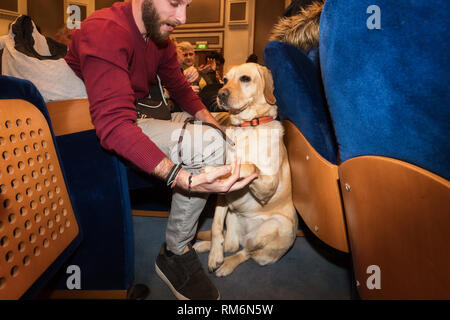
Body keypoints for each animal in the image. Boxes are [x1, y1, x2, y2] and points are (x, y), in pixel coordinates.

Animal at [192, 63, 296, 278]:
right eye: (225, 79)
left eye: (245, 78)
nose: (220, 94)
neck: (248, 127)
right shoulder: (222, 197)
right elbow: (215, 226)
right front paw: (214, 255)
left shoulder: (267, 185)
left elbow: (248, 165)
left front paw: (218, 169)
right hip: (232, 217)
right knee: (230, 244)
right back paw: (207, 247)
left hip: (277, 228)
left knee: (246, 252)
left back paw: (227, 264)